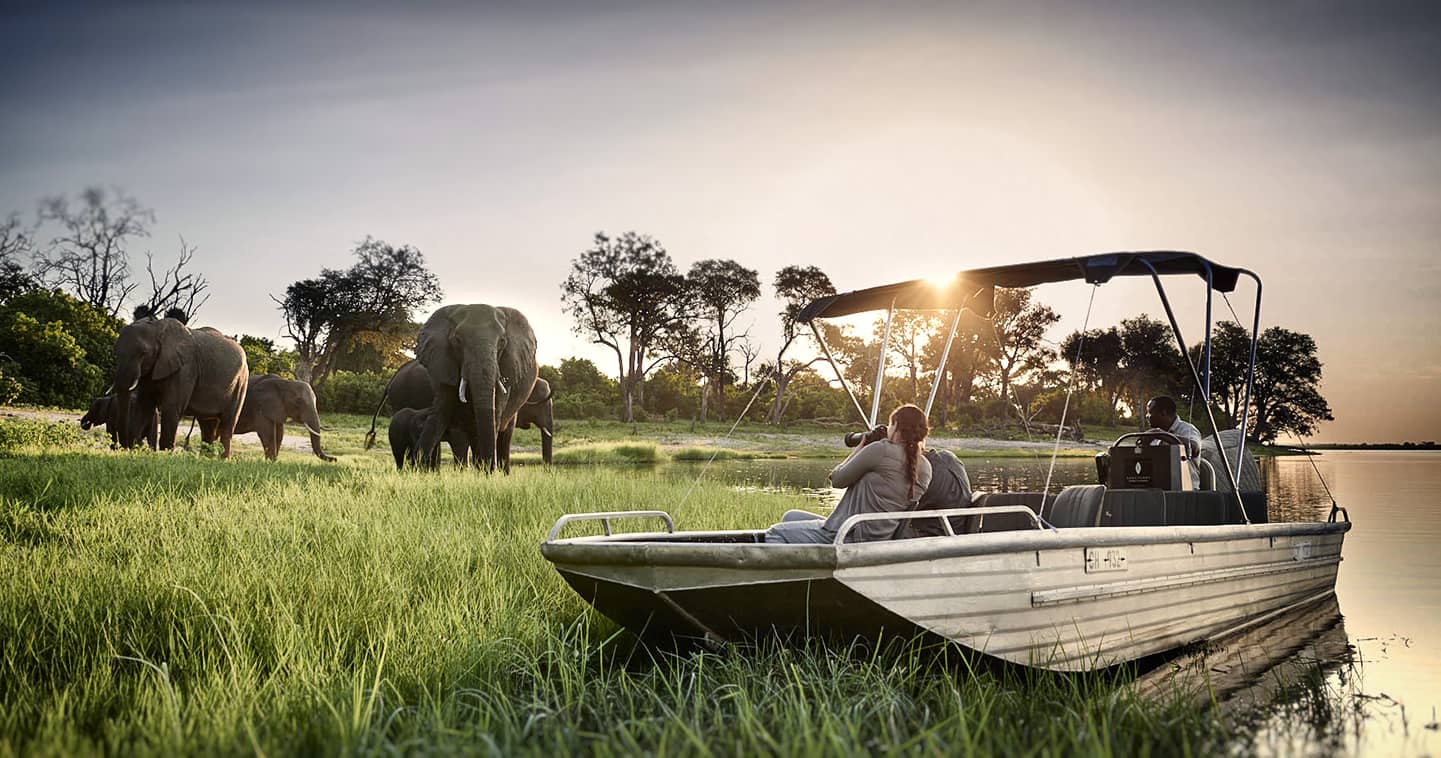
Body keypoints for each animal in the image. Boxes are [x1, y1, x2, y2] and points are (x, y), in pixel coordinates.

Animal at [112, 318, 247, 461]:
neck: (157, 328)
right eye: (115, 352)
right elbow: (144, 406)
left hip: (240, 383)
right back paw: (206, 458)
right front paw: (136, 451)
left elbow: (171, 407)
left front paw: (165, 455)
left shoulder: (185, 369)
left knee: (227, 424)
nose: (124, 448)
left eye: (143, 353)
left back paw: (223, 459)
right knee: (207, 425)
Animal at [197, 374, 334, 464]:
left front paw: (274, 462)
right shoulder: (260, 406)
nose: (334, 459)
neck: (285, 382)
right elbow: (267, 433)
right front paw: (271, 462)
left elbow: (279, 434)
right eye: (298, 402)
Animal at [417, 304, 541, 475]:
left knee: (503, 433)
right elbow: (440, 413)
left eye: (502, 342)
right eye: (457, 340)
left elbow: (494, 416)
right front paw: (415, 469)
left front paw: (487, 473)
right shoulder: (444, 363)